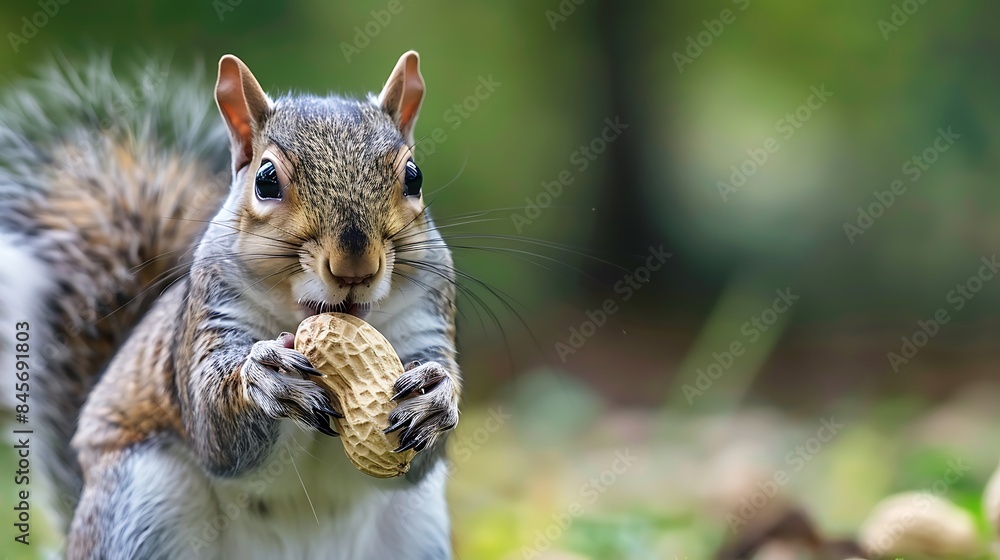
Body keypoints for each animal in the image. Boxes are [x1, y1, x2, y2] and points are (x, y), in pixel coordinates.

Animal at [0, 50, 461, 559]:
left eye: (414, 177)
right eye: (266, 180)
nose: (355, 267)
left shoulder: (427, 316)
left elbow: (416, 458)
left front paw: (436, 398)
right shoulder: (211, 310)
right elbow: (215, 430)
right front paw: (264, 377)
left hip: (417, 528)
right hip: (142, 501)